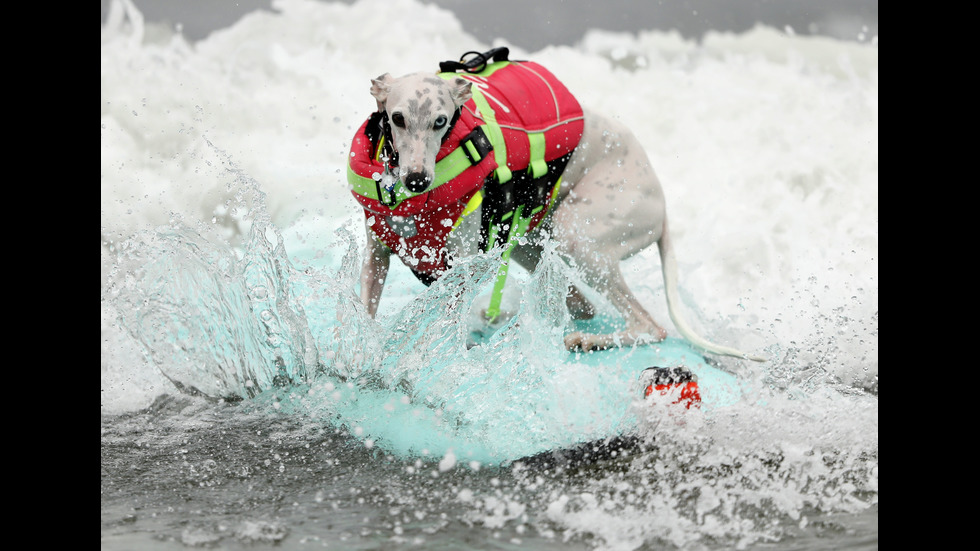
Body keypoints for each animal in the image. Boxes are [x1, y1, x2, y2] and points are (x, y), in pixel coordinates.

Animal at [346, 50, 764, 362]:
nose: (417, 179)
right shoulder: (377, 255)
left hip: (578, 236)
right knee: (584, 306)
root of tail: (662, 213)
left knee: (648, 326)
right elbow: (364, 313)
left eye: (441, 121)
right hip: (531, 244)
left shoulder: (461, 266)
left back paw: (586, 340)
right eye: (397, 118)